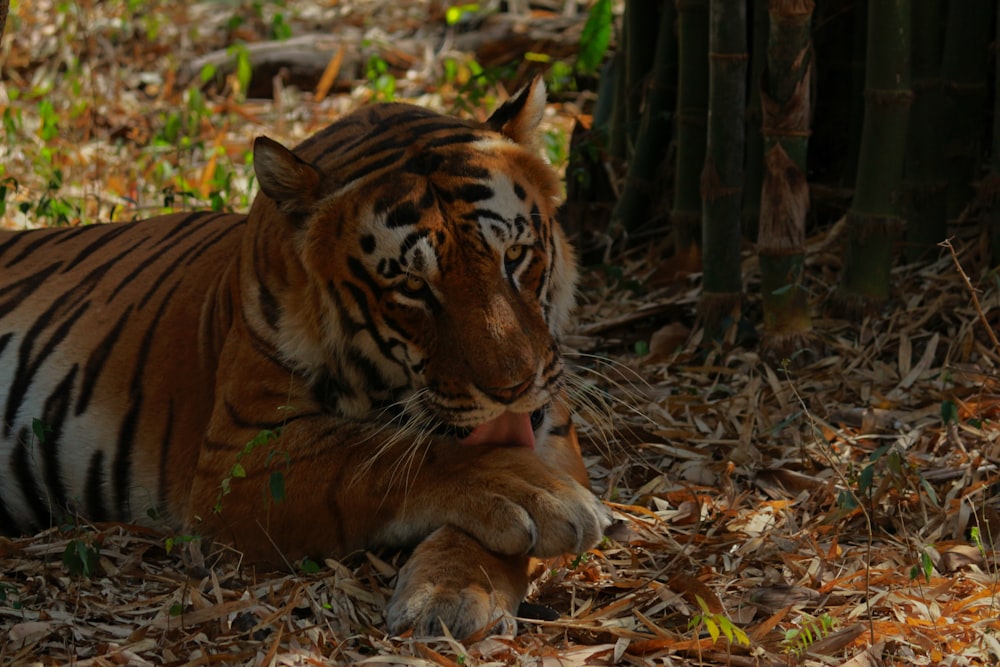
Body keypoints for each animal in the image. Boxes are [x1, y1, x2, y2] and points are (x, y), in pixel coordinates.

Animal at [0, 79, 608, 640]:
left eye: (515, 255)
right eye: (413, 287)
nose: (512, 389)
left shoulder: (553, 430)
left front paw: (454, 592)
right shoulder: (240, 460)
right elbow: (388, 457)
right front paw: (540, 501)